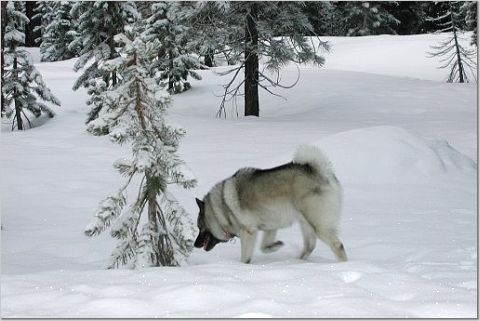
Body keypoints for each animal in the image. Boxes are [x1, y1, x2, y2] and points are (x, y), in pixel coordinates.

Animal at [193, 145, 346, 262]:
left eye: (200, 227)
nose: (195, 244)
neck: (221, 208)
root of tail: (321, 173)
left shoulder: (249, 232)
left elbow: (245, 257)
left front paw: (243, 266)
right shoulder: (270, 227)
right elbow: (264, 247)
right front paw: (276, 245)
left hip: (317, 224)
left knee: (337, 245)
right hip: (305, 223)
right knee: (310, 246)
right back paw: (298, 261)